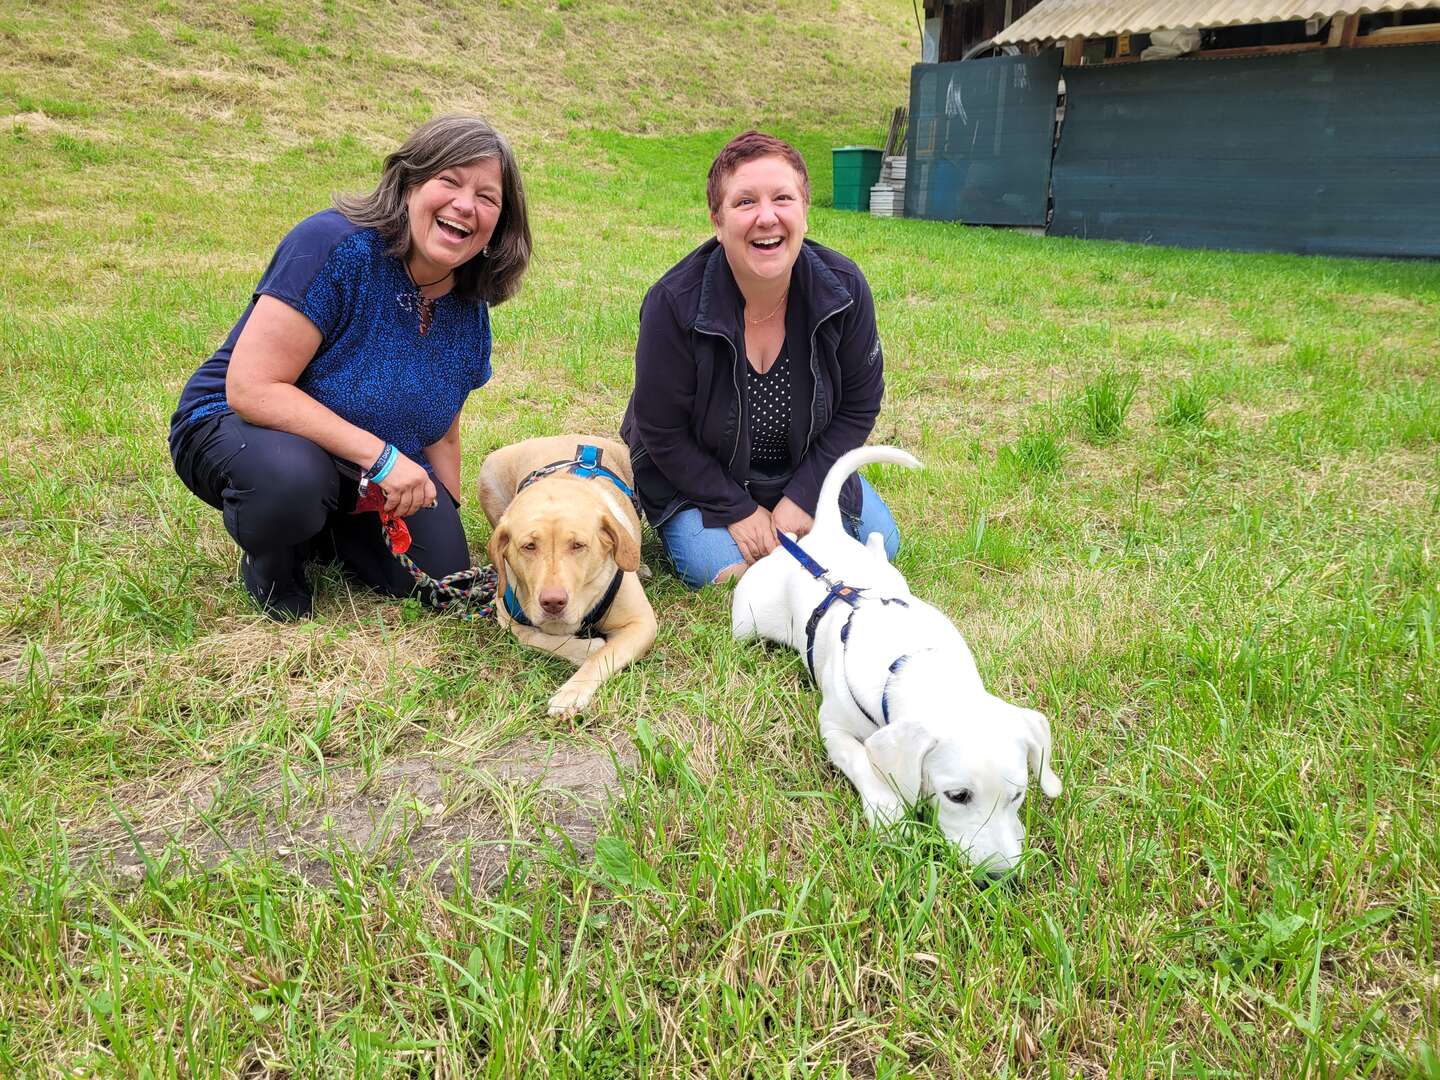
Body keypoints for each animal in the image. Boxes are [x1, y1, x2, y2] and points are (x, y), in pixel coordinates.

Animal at [478, 434, 659, 714]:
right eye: (528, 546)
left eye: (578, 545)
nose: (553, 602)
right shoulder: (506, 617)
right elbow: (536, 638)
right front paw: (586, 646)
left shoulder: (641, 623)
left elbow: (602, 657)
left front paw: (572, 692)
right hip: (488, 475)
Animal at [731, 443, 1059, 875]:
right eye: (957, 796)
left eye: (1018, 795)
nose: (1000, 877)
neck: (916, 662)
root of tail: (823, 534)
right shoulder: (832, 728)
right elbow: (860, 758)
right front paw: (887, 809)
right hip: (746, 619)